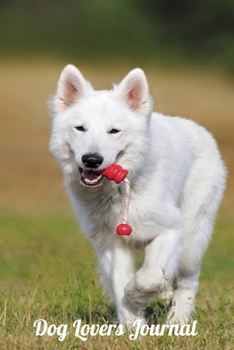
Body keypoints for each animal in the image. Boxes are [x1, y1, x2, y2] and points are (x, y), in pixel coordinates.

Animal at [48, 64, 226, 326]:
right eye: (80, 128)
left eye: (114, 131)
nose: (91, 159)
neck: (120, 191)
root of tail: (200, 130)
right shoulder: (112, 245)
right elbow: (121, 280)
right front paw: (133, 326)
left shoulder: (170, 230)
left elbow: (148, 278)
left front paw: (137, 297)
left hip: (192, 240)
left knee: (187, 280)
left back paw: (177, 321)